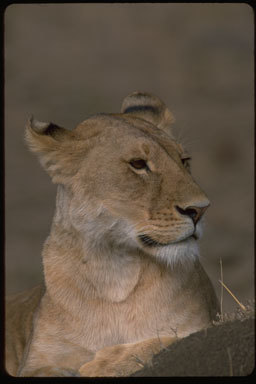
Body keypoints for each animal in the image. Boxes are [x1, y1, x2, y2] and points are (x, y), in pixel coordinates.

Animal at [5, 91, 218, 376]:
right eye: (138, 164)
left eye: (184, 161)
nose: (200, 209)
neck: (115, 273)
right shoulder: (35, 363)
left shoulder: (203, 324)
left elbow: (164, 339)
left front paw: (102, 364)